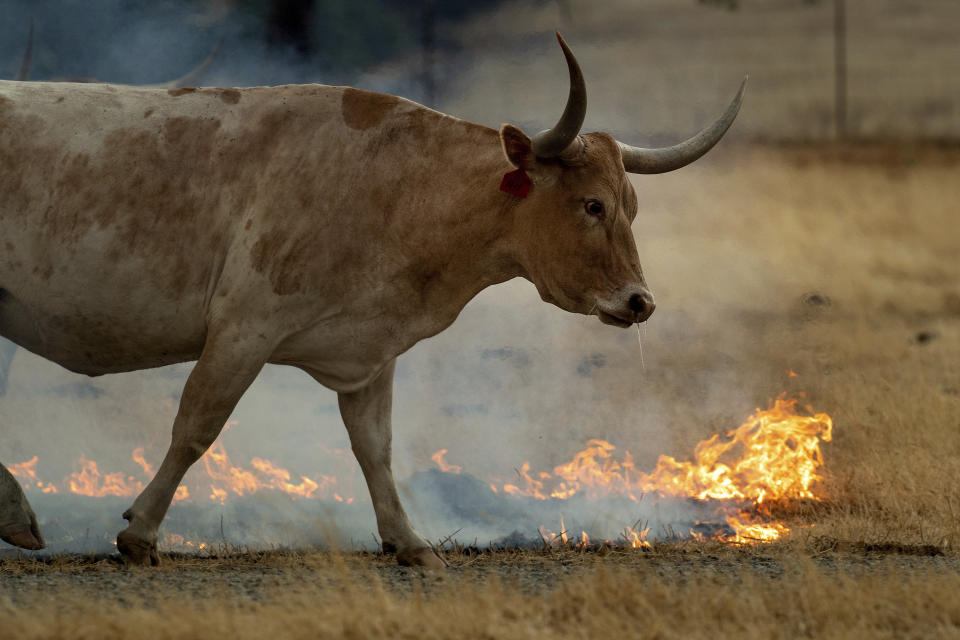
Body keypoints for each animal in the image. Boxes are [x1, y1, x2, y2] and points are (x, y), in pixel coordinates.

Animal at [0, 33, 748, 564]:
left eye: (632, 205)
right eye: (591, 204)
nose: (640, 303)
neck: (394, 186)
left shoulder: (369, 354)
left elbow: (375, 447)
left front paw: (407, 540)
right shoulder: (245, 328)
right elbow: (196, 427)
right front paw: (141, 532)